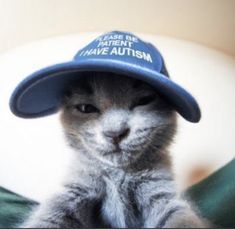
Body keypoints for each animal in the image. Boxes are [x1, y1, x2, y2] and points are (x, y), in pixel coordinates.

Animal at [21, 71, 207, 227]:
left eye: (144, 100)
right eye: (86, 108)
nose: (115, 133)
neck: (118, 175)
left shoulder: (161, 193)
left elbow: (180, 218)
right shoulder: (75, 190)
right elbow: (49, 216)